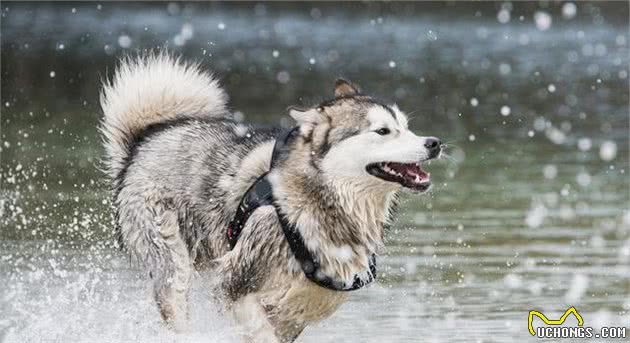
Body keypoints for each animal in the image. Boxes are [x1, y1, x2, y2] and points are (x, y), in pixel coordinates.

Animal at [100, 51, 444, 343]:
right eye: (383, 131)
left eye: (406, 127)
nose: (434, 142)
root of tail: (145, 139)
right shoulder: (233, 285)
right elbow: (257, 329)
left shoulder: (302, 306)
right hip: (171, 258)